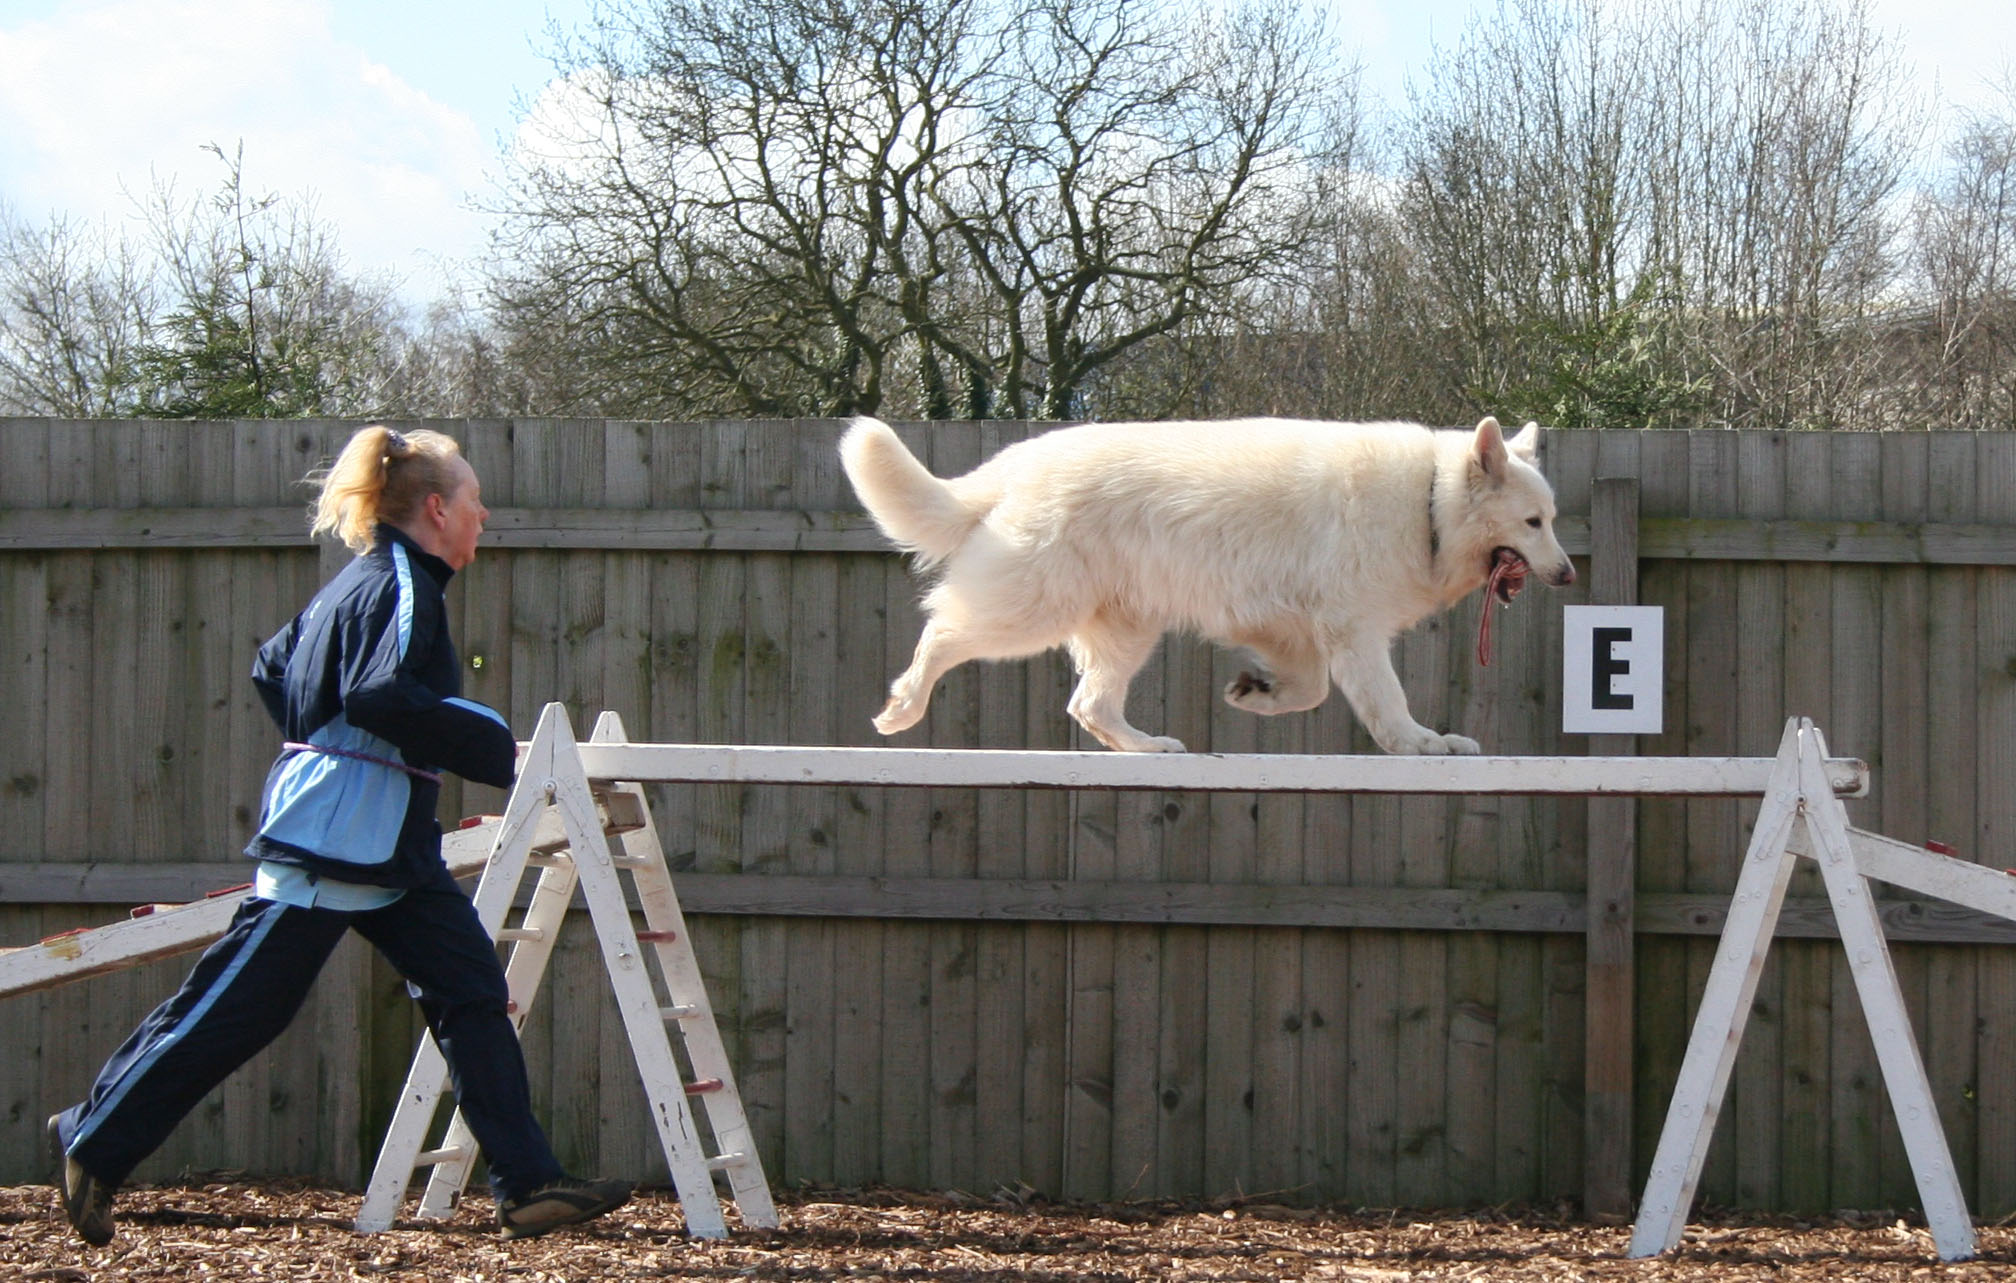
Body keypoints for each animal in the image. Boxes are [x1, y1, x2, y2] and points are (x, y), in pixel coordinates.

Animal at [834, 415, 1572, 750]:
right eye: (1532, 523)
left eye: (1553, 521)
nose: (1567, 574)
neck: (1429, 502)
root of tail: (1017, 461)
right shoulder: (1354, 635)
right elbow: (1388, 707)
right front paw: (1424, 742)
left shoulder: (1294, 631)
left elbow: (1307, 691)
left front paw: (1256, 695)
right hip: (1030, 610)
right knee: (942, 632)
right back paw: (902, 705)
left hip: (1126, 630)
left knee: (1090, 706)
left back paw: (1142, 747)